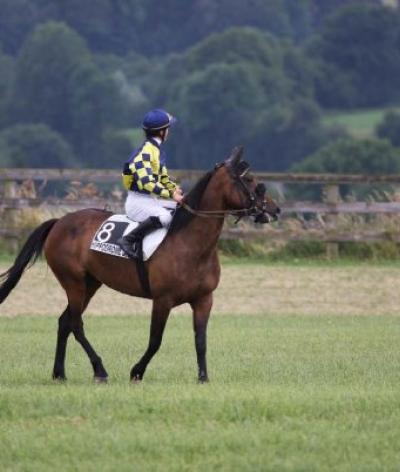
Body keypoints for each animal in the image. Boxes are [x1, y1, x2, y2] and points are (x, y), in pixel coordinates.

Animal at [0, 148, 280, 384]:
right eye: (250, 180)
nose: (275, 210)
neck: (191, 244)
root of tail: (59, 221)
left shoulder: (204, 299)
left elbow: (200, 340)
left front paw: (203, 377)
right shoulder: (163, 299)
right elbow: (155, 340)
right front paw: (137, 371)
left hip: (90, 284)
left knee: (65, 322)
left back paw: (59, 373)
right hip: (74, 283)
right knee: (76, 324)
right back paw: (99, 370)